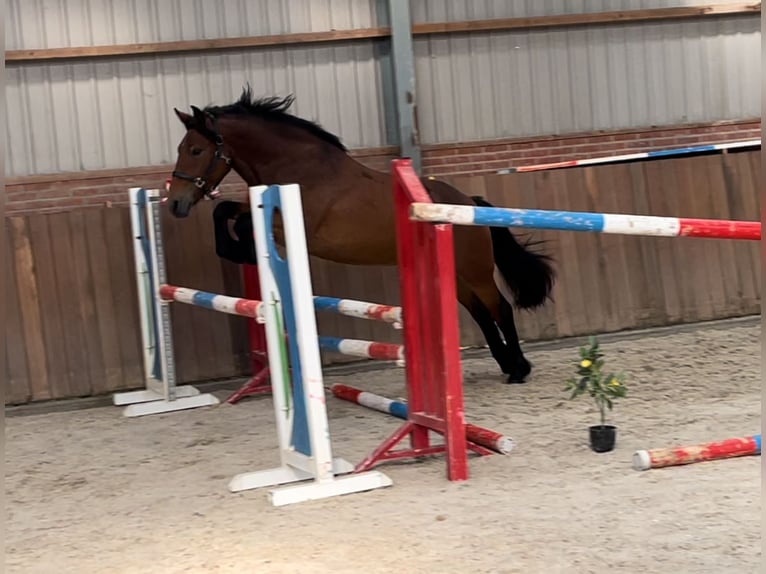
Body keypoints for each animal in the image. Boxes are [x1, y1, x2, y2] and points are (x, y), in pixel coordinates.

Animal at [168, 88, 556, 384]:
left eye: (196, 150)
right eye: (181, 149)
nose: (175, 204)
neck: (300, 169)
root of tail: (468, 202)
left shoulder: (299, 226)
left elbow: (243, 223)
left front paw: (243, 250)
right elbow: (225, 211)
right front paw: (236, 249)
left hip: (476, 271)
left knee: (500, 308)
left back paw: (519, 369)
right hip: (455, 275)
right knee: (481, 313)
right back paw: (505, 364)